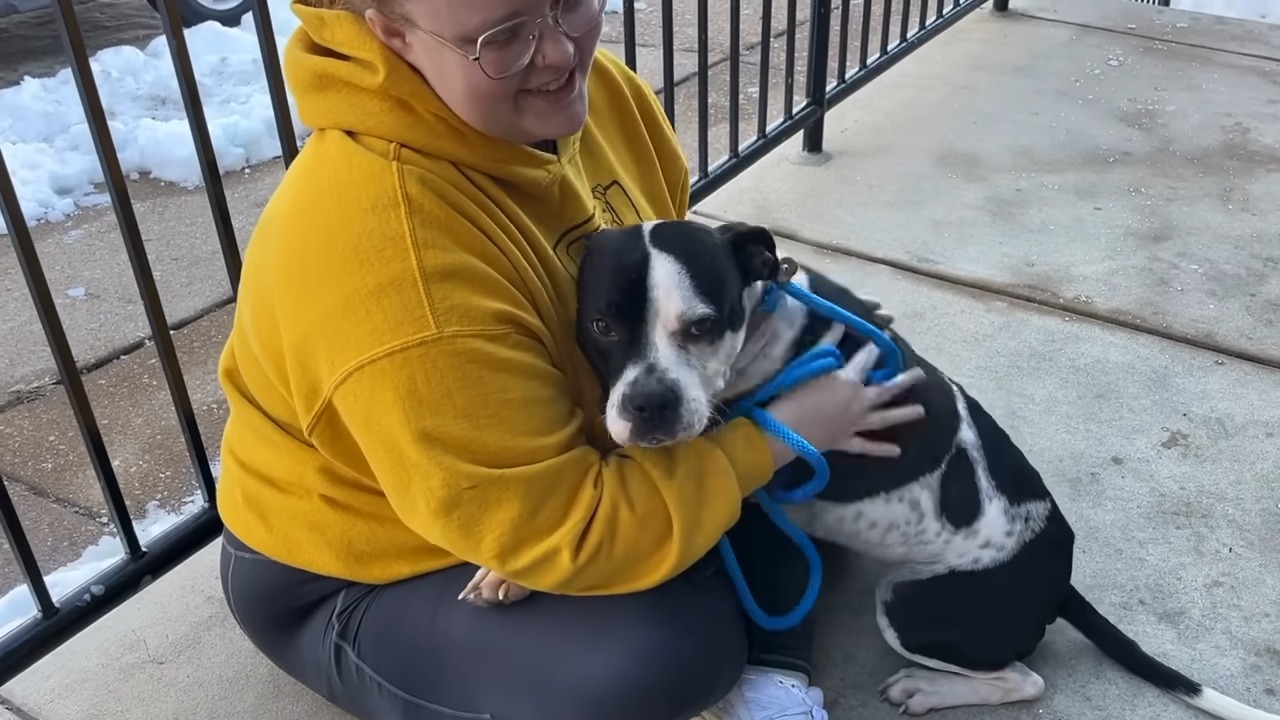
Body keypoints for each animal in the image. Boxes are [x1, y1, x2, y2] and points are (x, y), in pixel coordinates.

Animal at [573, 219, 1280, 717]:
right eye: (602, 326)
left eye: (702, 325)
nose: (650, 404)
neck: (770, 332)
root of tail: (1058, 578)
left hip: (912, 603)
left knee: (1025, 678)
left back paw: (929, 690)